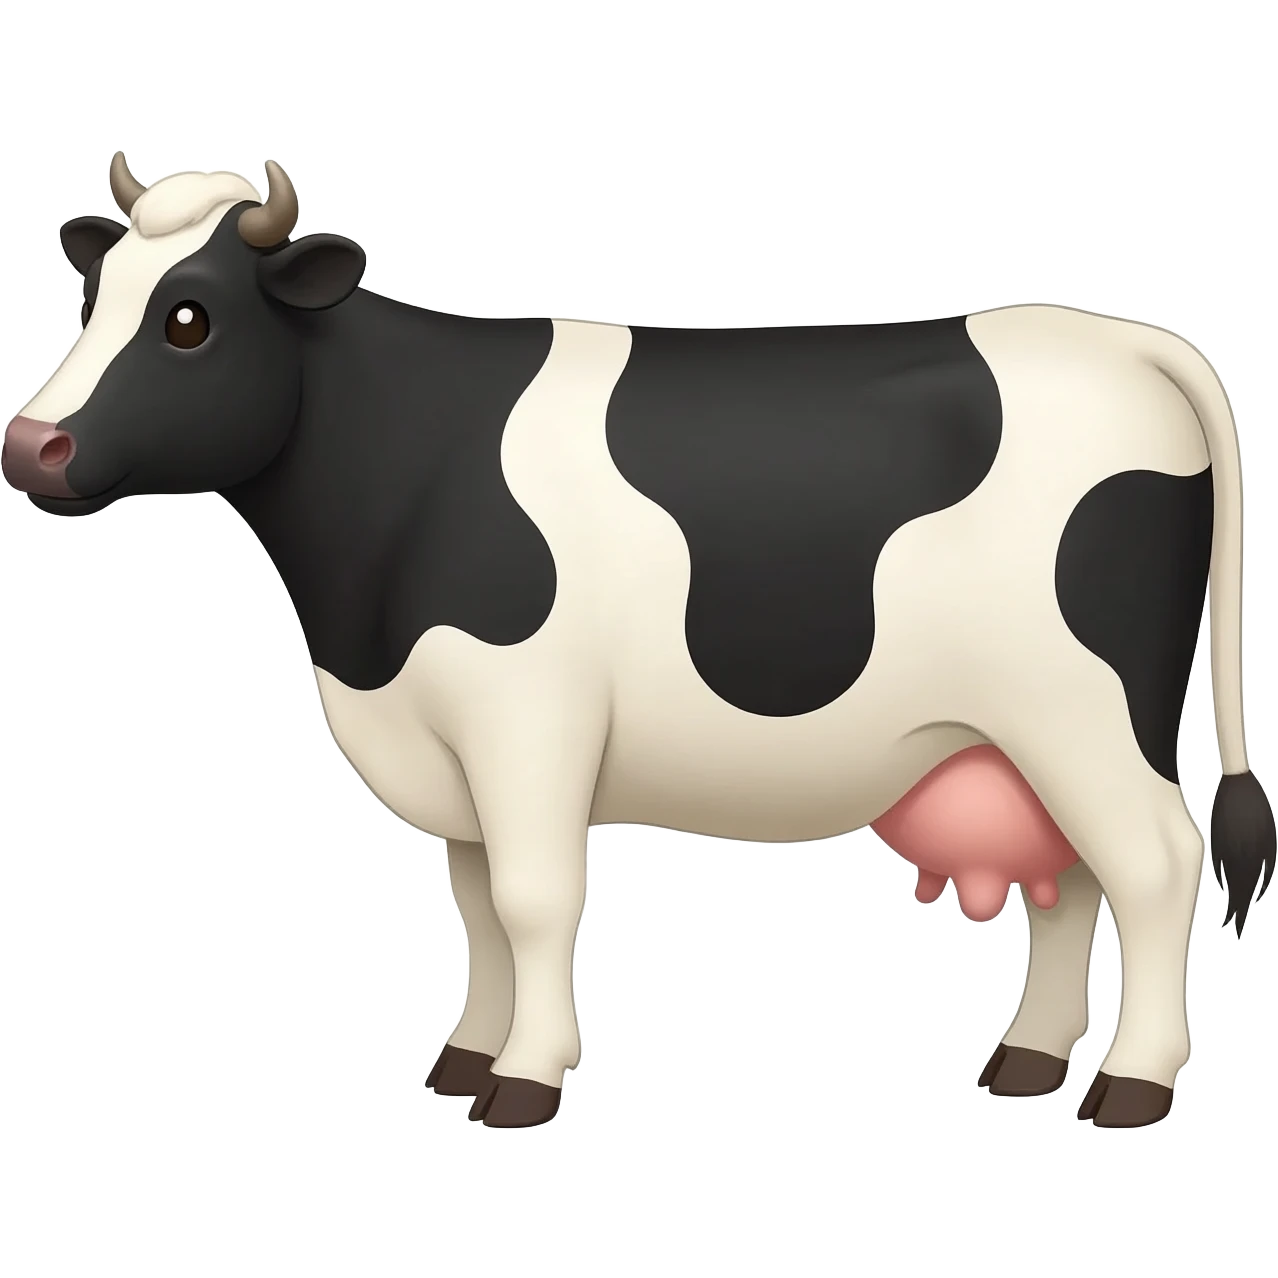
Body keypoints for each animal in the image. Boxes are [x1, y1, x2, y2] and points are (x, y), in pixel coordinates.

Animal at [4, 154, 1273, 1132]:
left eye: (188, 319)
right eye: (92, 294)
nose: (32, 447)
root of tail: (1125, 340)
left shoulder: (524, 716)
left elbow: (531, 897)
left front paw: (522, 1083)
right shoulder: (453, 741)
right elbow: (476, 904)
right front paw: (466, 1059)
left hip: (1087, 708)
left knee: (1158, 864)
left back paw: (1133, 1085)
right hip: (1022, 734)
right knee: (1072, 881)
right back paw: (1027, 1062)